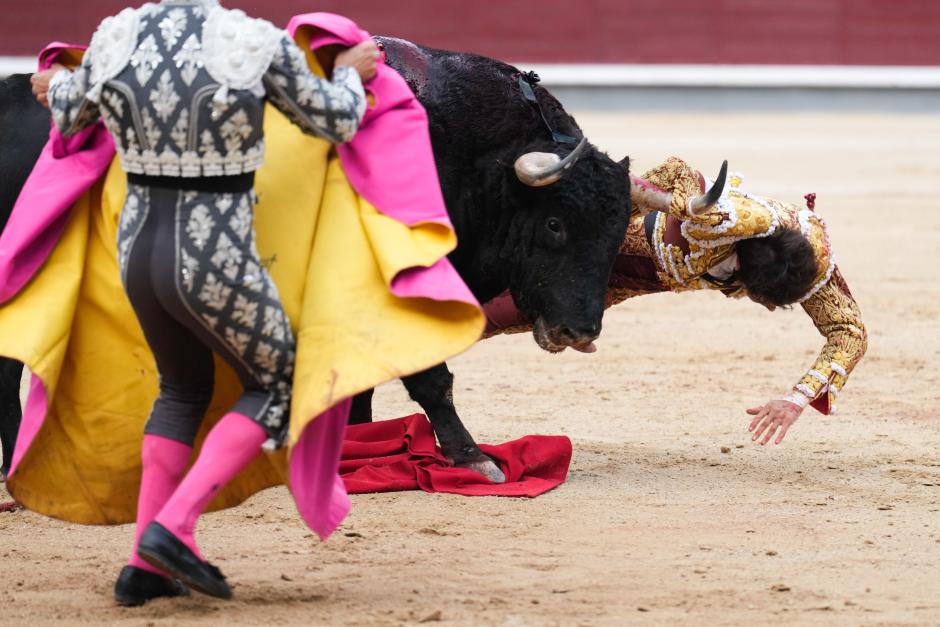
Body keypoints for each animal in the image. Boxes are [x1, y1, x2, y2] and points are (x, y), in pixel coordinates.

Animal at [0, 38, 636, 480]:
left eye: (614, 236)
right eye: (555, 224)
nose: (580, 330)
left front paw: (359, 444)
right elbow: (430, 377)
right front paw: (471, 456)